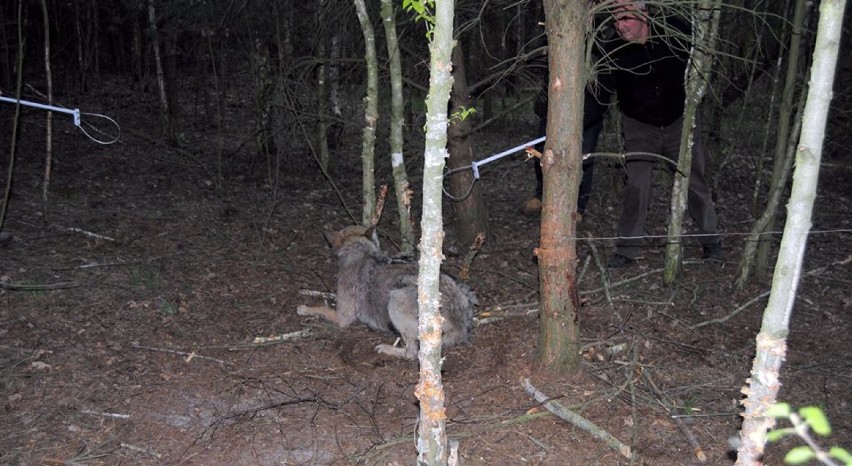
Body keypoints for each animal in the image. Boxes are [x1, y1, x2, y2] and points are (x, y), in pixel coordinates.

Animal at [296, 226, 476, 360]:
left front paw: (305, 308)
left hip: (395, 299)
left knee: (412, 353)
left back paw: (388, 349)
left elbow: (321, 309)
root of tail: (458, 319)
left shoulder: (342, 317)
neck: (360, 251)